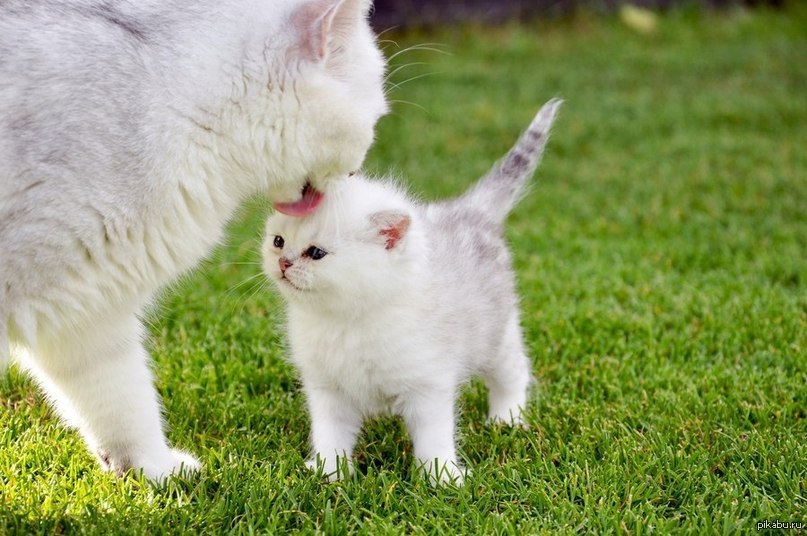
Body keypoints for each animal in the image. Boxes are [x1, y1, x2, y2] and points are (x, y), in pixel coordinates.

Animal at [264, 97, 560, 486]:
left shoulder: (428, 385)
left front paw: (443, 478)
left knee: (514, 373)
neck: (346, 321)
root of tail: (467, 210)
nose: (284, 263)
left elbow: (434, 437)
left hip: (497, 335)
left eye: (316, 253)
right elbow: (330, 434)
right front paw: (330, 473)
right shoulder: (328, 390)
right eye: (278, 241)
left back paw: (506, 419)